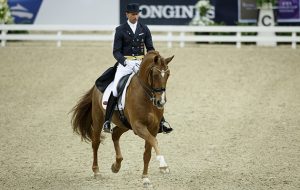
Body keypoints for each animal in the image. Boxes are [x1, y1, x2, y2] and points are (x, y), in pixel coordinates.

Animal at [71, 50, 173, 187]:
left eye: (168, 74)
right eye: (155, 74)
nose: (160, 102)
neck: (146, 96)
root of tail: (96, 86)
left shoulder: (153, 127)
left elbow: (147, 152)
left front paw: (145, 178)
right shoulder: (138, 126)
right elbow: (154, 142)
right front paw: (163, 165)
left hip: (124, 124)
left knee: (115, 134)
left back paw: (116, 166)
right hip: (98, 119)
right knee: (96, 142)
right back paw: (97, 171)